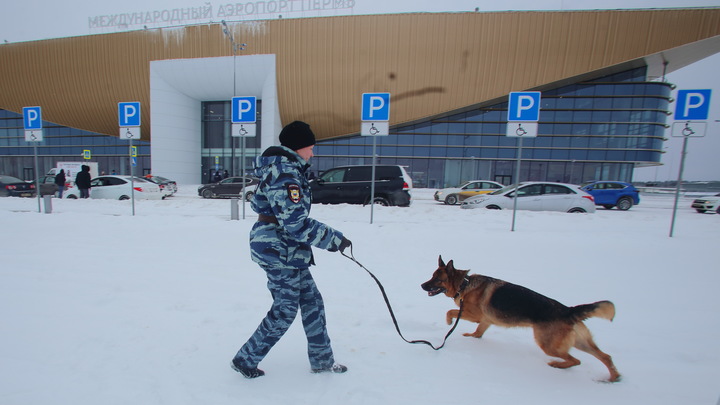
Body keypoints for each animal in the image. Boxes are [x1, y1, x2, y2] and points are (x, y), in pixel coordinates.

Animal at [422, 256, 620, 382]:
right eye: (431, 276)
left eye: (437, 279)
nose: (421, 285)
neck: (464, 284)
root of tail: (568, 310)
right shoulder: (485, 321)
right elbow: (478, 333)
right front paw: (472, 338)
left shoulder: (474, 315)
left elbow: (450, 311)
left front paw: (449, 323)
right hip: (580, 342)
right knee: (606, 357)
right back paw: (613, 378)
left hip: (547, 344)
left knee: (576, 360)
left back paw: (557, 365)